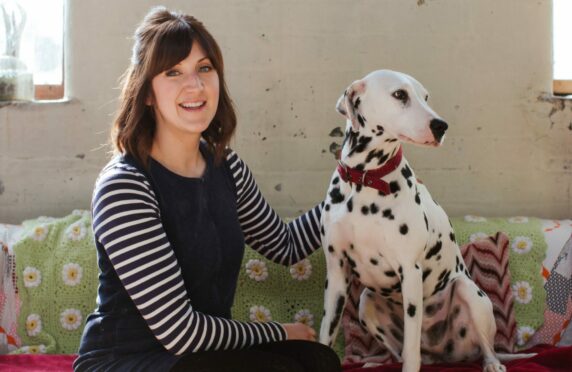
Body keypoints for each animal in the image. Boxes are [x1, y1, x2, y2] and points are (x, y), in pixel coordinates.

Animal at [320, 70, 528, 372]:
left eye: (426, 97)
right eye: (399, 94)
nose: (441, 126)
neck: (366, 180)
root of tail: (443, 354)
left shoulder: (410, 272)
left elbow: (411, 350)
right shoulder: (336, 273)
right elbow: (326, 333)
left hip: (468, 292)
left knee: (485, 348)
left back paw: (492, 364)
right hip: (366, 302)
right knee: (399, 351)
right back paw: (376, 362)